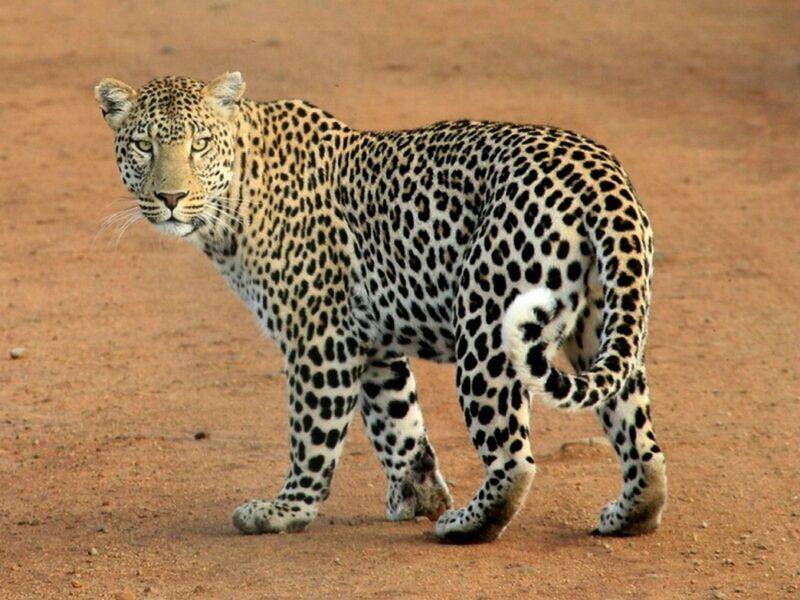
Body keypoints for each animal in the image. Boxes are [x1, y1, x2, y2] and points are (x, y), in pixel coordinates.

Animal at [94, 72, 667, 543]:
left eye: (199, 145)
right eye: (144, 146)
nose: (170, 198)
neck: (235, 200)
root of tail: (600, 175)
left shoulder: (320, 339)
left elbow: (313, 435)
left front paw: (286, 511)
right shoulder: (371, 343)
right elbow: (399, 425)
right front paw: (418, 494)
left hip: (486, 327)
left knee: (513, 459)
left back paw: (465, 524)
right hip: (603, 324)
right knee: (641, 441)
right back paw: (628, 515)